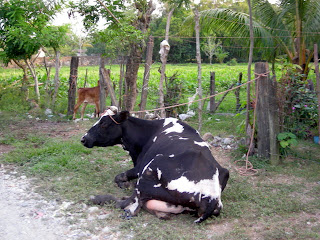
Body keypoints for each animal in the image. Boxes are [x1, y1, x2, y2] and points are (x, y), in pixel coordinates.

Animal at [81, 109, 229, 223]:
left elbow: (119, 177)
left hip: (149, 169)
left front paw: (125, 184)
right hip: (225, 172)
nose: (83, 139)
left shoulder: (139, 167)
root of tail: (211, 196)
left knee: (130, 205)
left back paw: (98, 198)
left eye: (104, 124)